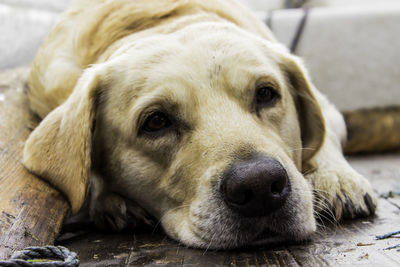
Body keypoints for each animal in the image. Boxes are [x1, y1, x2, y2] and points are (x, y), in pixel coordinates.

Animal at [23, 0, 376, 249]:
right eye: (156, 121)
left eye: (266, 94)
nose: (260, 185)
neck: (156, 22)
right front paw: (110, 201)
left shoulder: (327, 109)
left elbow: (324, 141)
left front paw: (336, 178)